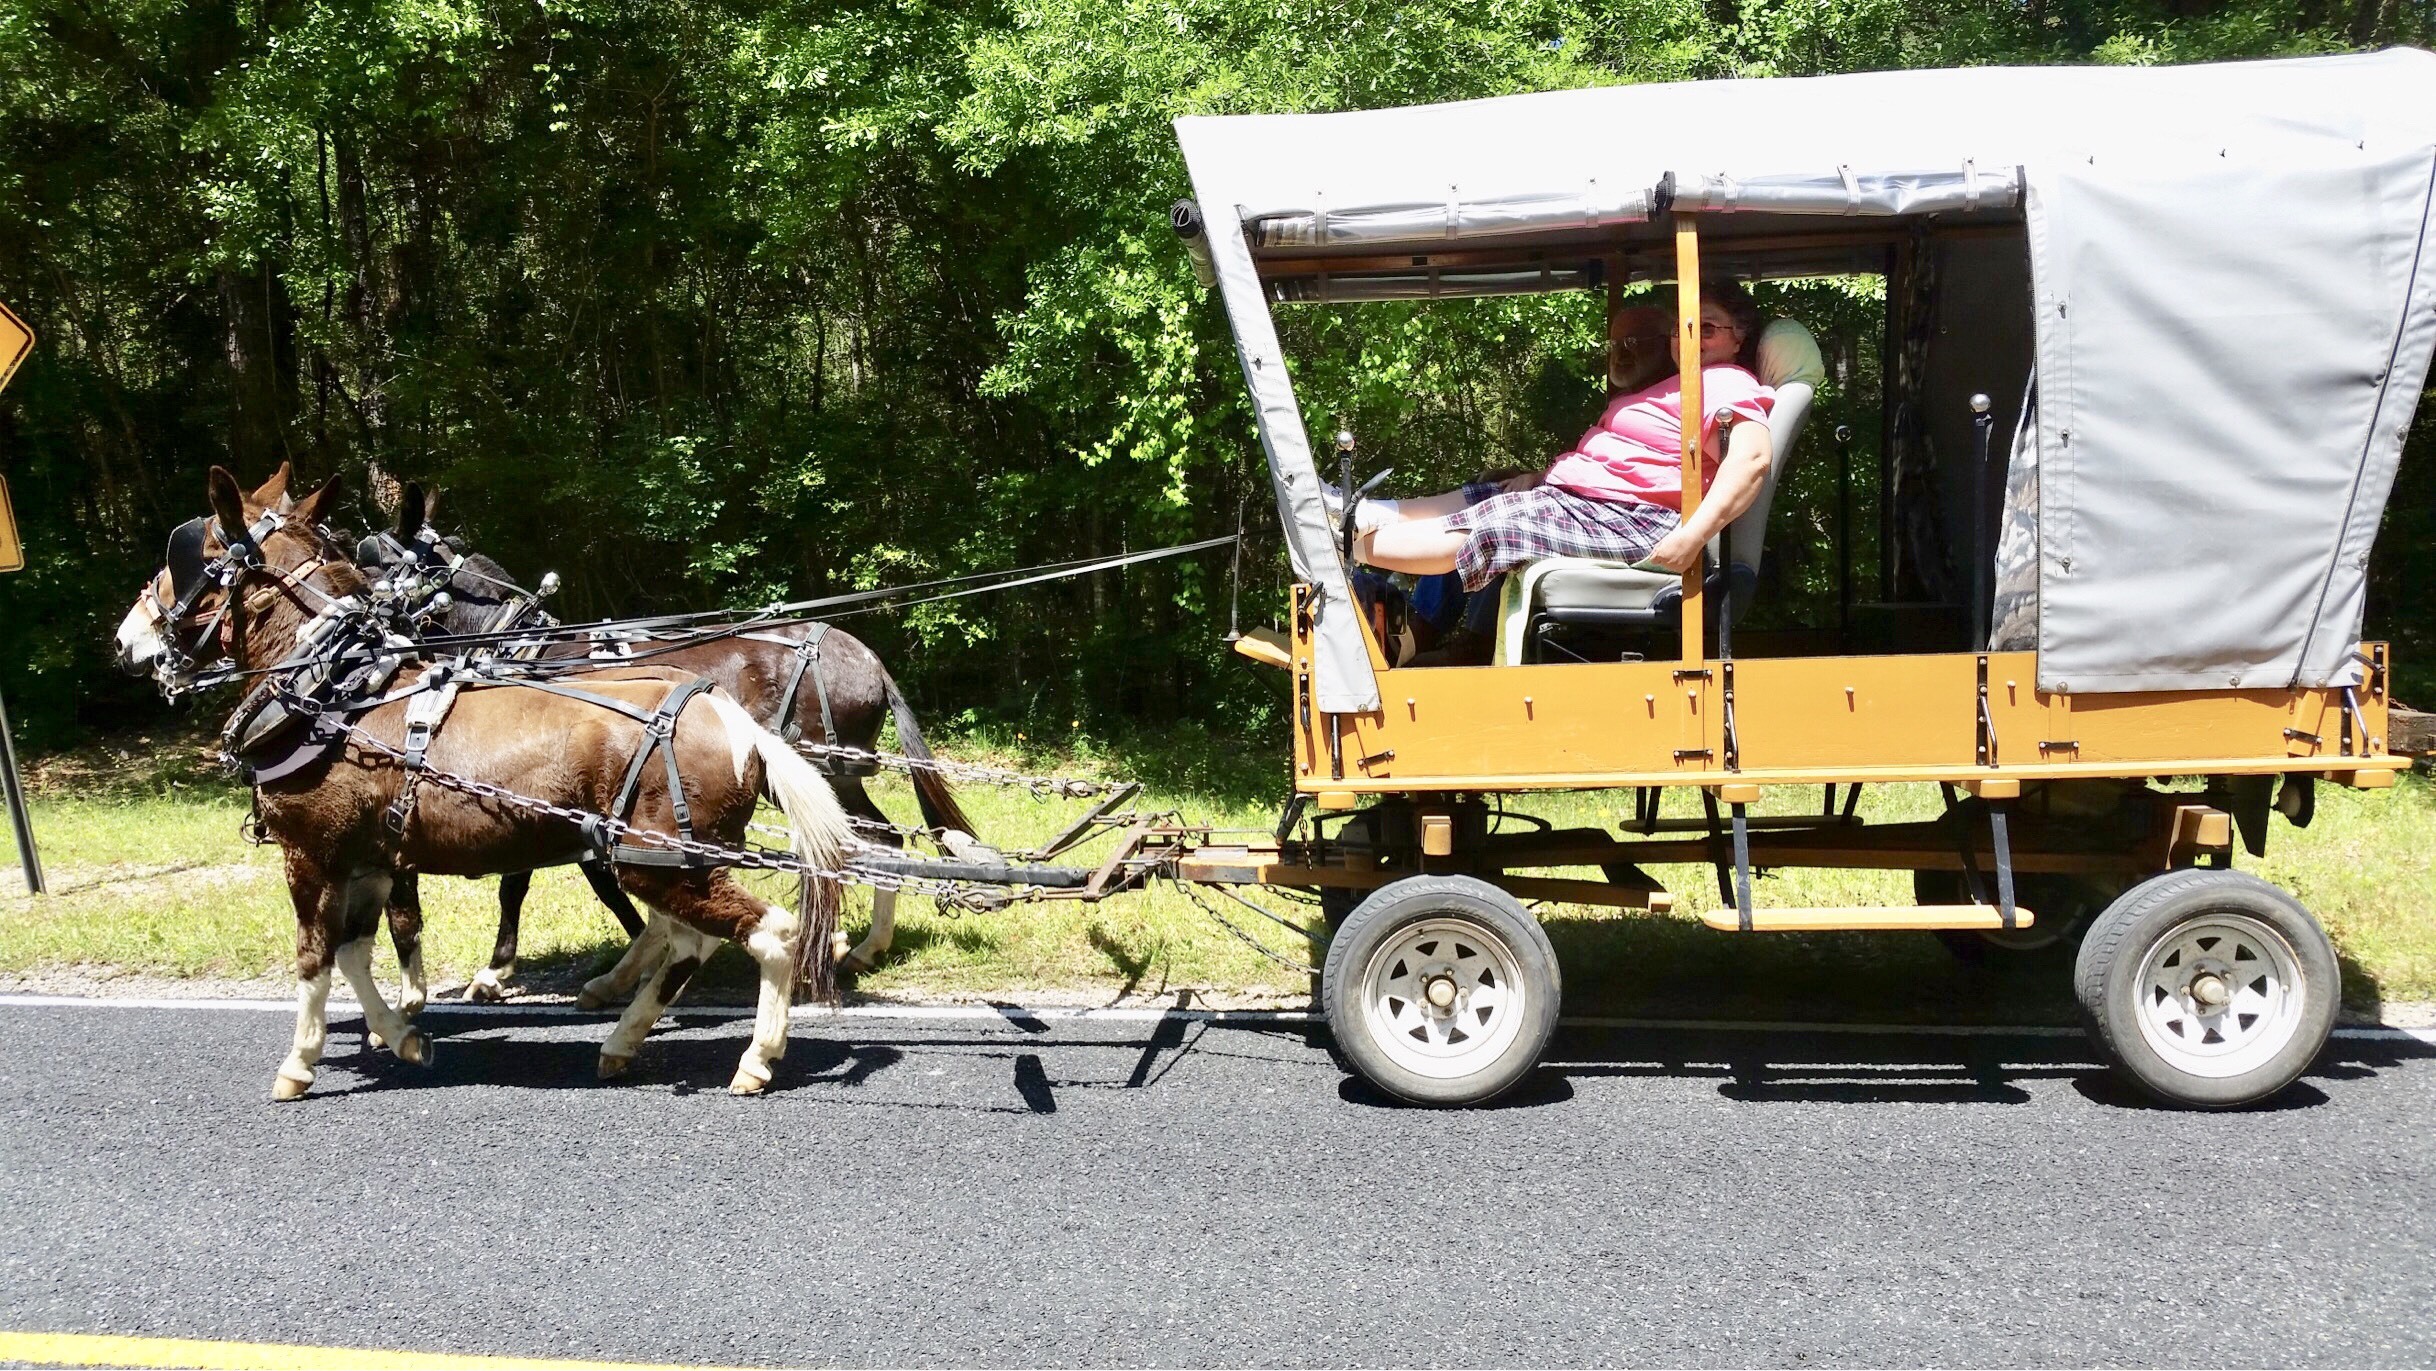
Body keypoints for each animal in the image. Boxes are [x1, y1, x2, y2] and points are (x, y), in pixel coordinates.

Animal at [114, 466, 857, 1099]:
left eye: (181, 557)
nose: (127, 639)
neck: (333, 692)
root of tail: (734, 722)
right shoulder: (369, 860)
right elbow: (357, 953)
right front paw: (404, 1036)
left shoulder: (311, 856)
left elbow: (314, 957)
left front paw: (299, 1062)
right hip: (667, 863)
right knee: (687, 942)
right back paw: (622, 1039)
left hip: (664, 862)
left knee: (767, 932)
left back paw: (755, 1057)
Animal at [352, 483, 983, 1007]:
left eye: (368, 561)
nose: (358, 637)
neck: (523, 650)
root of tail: (869, 659)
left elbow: (535, 885)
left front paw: (501, 972)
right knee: (878, 840)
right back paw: (859, 945)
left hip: (831, 770)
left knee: (870, 842)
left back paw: (857, 944)